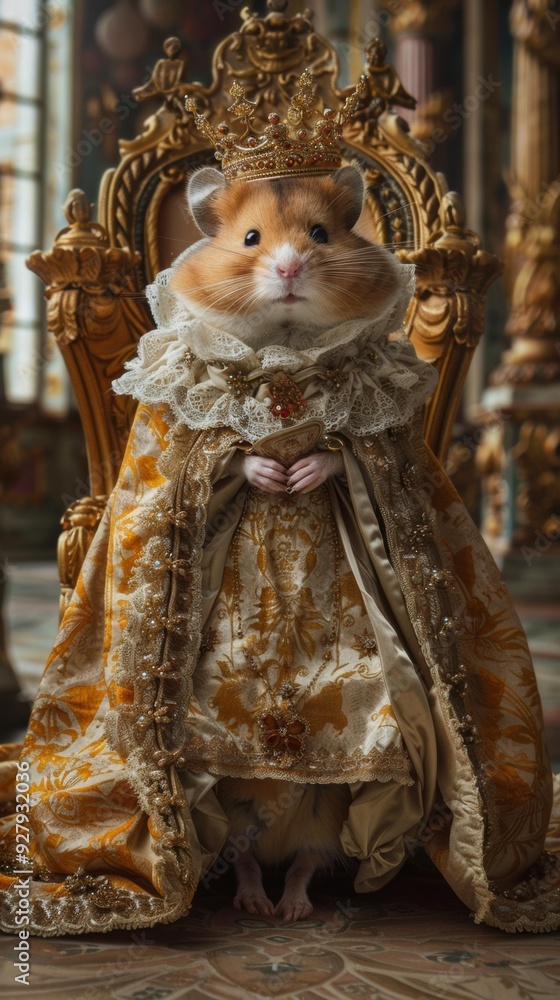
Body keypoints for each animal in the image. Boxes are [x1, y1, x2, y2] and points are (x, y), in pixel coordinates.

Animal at [170, 165, 405, 921]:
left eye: (321, 234)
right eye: (250, 239)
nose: (290, 266)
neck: (286, 352)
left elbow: (342, 453)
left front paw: (304, 473)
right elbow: (234, 455)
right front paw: (270, 473)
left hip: (333, 799)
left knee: (307, 850)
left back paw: (292, 906)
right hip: (226, 786)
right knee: (242, 847)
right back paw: (252, 901)